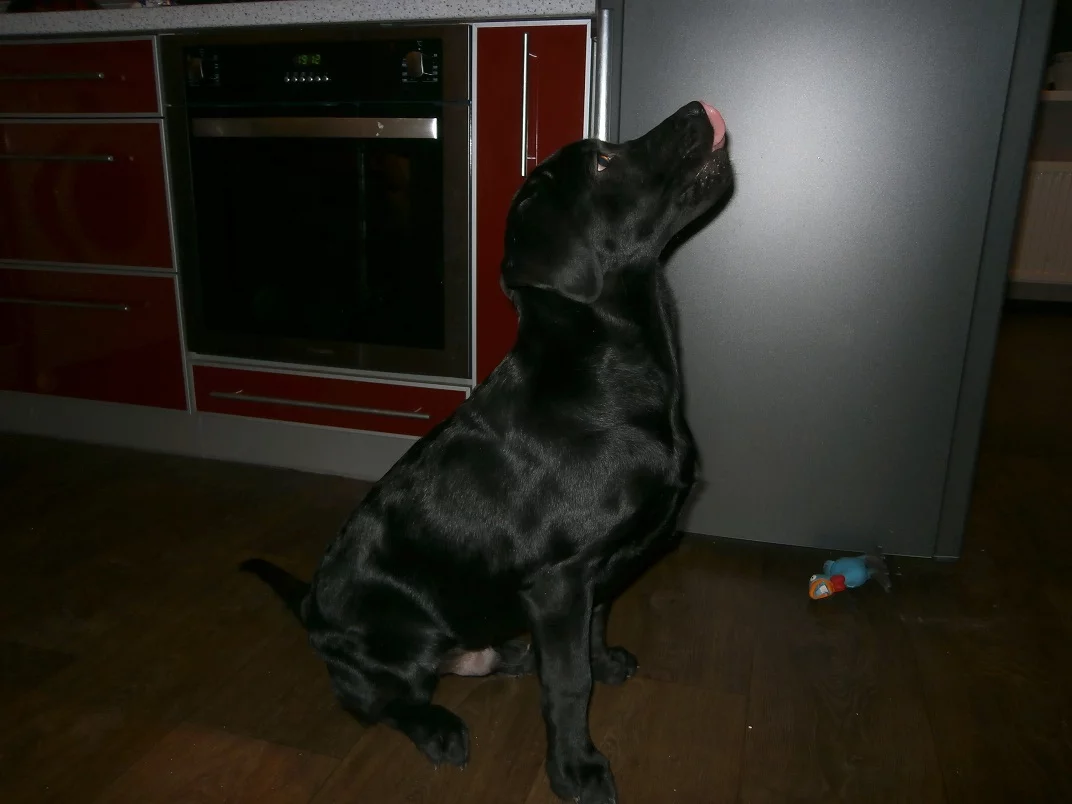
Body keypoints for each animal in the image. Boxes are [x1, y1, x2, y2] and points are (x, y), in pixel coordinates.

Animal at [243, 98, 731, 804]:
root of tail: (310, 607)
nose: (697, 107)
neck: (607, 377)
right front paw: (576, 771)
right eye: (604, 161)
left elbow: (596, 629)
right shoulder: (559, 582)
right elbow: (567, 687)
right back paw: (440, 728)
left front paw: (606, 662)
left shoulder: (594, 576)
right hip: (400, 644)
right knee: (379, 703)